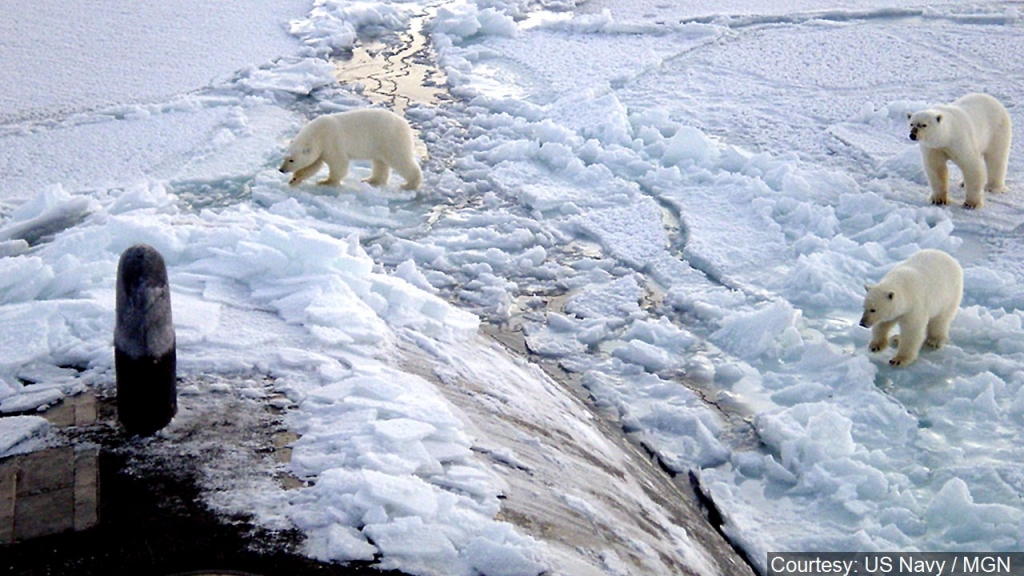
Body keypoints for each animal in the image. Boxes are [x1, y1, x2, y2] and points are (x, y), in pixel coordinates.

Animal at [278, 106, 421, 189]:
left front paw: (325, 181)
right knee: (380, 162)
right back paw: (371, 180)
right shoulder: (320, 148)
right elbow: (312, 165)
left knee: (400, 159)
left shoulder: (331, 141)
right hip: (380, 144)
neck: (318, 132)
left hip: (390, 139)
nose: (281, 170)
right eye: (284, 158)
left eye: (291, 160)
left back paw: (409, 184)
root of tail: (406, 125)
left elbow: (338, 164)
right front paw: (294, 180)